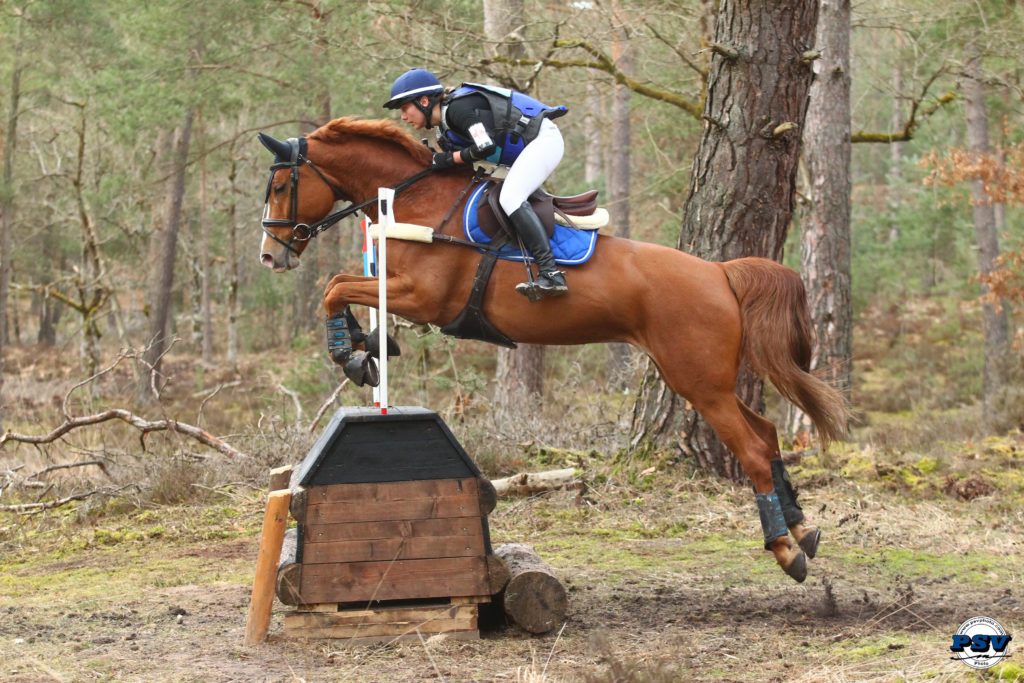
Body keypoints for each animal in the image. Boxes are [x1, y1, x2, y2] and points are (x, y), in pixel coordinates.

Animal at [256, 116, 847, 581]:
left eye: (282, 184)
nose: (270, 255)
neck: (417, 200)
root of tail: (721, 273)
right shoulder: (399, 290)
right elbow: (341, 285)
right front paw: (365, 347)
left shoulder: (423, 297)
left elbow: (333, 286)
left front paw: (352, 354)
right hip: (705, 379)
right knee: (766, 434)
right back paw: (802, 528)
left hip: (699, 382)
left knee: (752, 450)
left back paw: (785, 550)